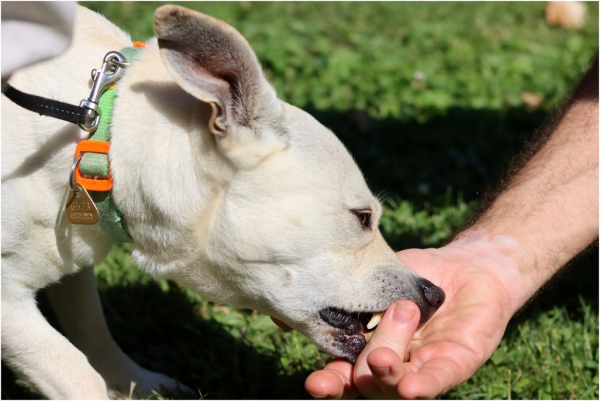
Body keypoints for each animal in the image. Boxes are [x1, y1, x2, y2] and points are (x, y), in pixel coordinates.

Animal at [2, 4, 446, 398]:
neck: (101, 137)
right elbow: (74, 371)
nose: (436, 295)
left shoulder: (75, 264)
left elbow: (91, 326)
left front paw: (135, 383)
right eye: (362, 217)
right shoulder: (10, 306)